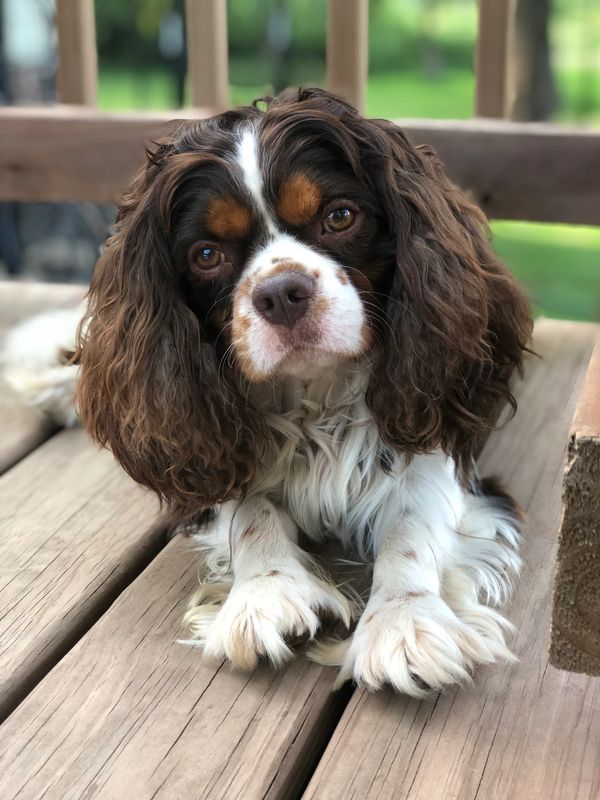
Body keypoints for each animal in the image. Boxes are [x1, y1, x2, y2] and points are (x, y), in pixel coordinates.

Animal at [4, 89, 532, 692]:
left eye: (340, 217)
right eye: (207, 254)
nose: (281, 293)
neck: (314, 393)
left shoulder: (436, 447)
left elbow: (411, 527)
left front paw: (405, 622)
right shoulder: (215, 455)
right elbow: (251, 512)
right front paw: (266, 594)